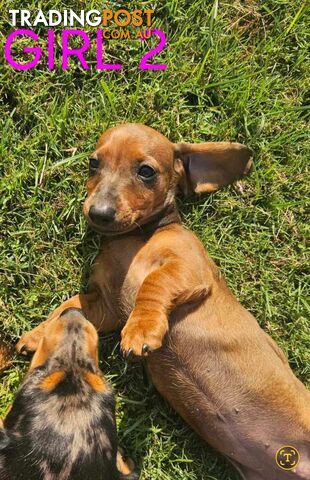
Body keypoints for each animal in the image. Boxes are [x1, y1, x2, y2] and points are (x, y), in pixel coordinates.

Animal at [16, 124, 310, 480]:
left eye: (146, 171)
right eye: (93, 163)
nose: (98, 213)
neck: (136, 238)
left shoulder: (187, 266)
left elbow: (153, 284)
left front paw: (141, 330)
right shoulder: (104, 306)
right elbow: (67, 307)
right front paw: (40, 335)